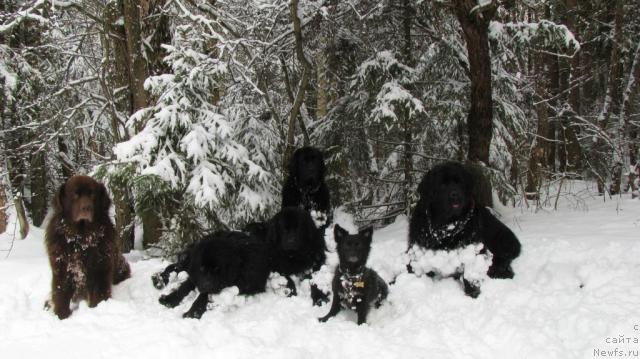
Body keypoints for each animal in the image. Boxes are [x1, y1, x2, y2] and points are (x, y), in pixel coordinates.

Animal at [45, 176, 130, 320]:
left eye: (92, 194)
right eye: (75, 194)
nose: (87, 207)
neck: (81, 238)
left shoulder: (100, 270)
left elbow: (99, 295)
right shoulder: (62, 269)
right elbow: (61, 293)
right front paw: (61, 316)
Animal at [408, 162, 524, 298]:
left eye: (460, 183)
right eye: (442, 184)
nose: (455, 194)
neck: (445, 226)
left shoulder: (473, 250)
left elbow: (470, 273)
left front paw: (472, 291)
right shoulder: (417, 250)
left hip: (501, 237)